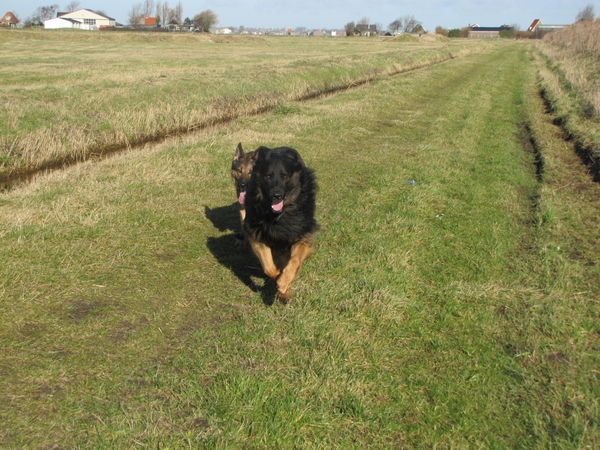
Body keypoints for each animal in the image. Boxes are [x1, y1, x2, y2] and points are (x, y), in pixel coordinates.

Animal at [244, 146, 318, 304]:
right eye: (268, 176)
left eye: (285, 176)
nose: (276, 195)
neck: (278, 215)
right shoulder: (257, 234)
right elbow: (268, 267)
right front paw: (278, 276)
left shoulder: (301, 236)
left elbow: (294, 261)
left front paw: (284, 283)